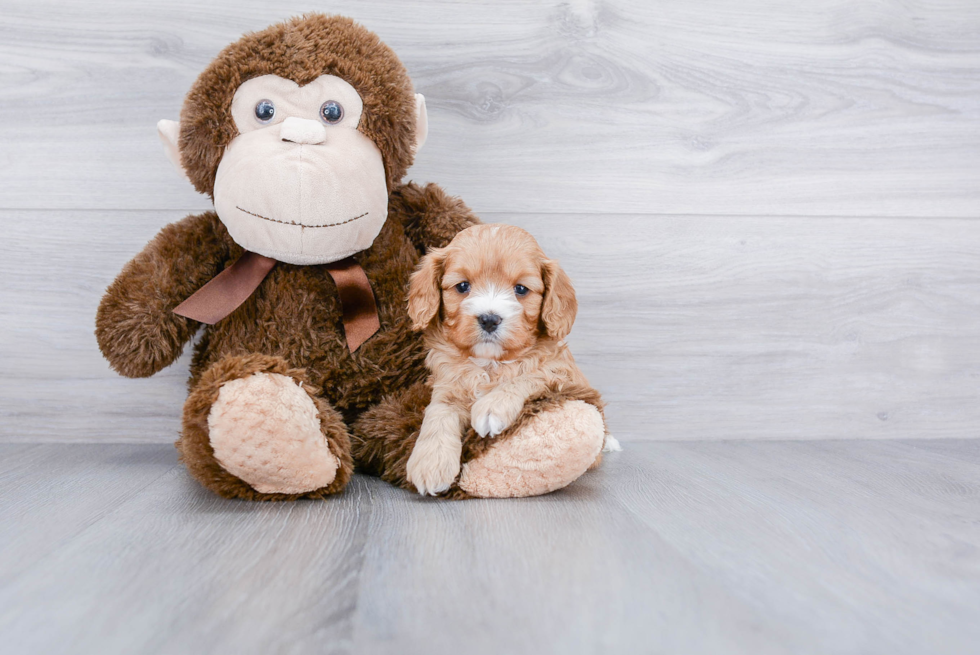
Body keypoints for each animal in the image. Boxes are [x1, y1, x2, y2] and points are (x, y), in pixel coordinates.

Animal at [400, 223, 612, 494]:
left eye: (520, 289)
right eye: (462, 286)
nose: (489, 319)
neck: (490, 363)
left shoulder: (561, 371)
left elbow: (530, 376)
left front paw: (492, 406)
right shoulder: (447, 384)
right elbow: (438, 411)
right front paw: (430, 462)